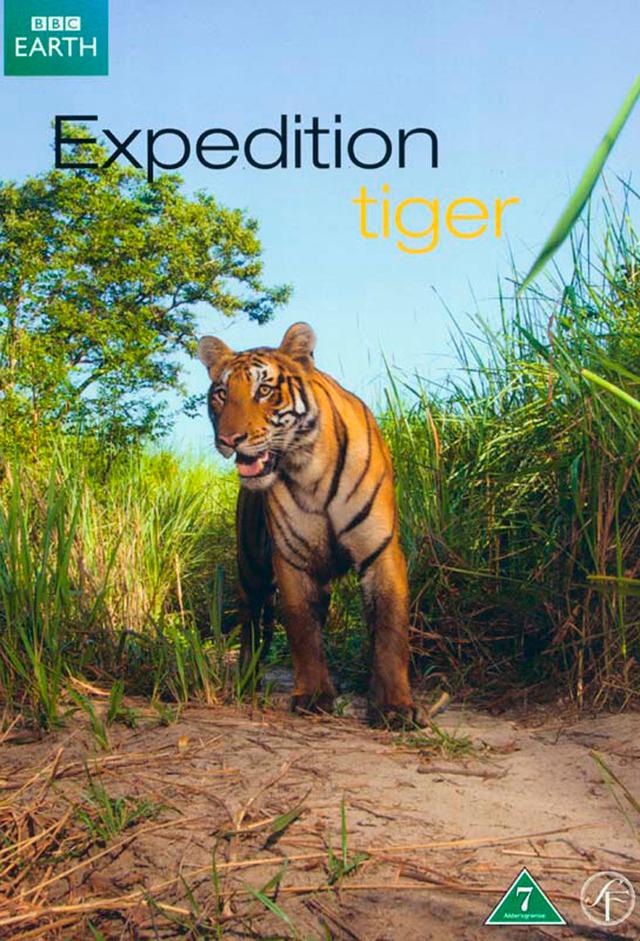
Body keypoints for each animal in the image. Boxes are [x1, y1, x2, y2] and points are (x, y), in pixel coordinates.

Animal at [198, 322, 424, 727]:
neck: (308, 470)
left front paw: (394, 706)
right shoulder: (292, 559)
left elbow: (390, 631)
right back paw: (247, 682)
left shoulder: (380, 552)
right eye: (222, 394)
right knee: (252, 621)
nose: (228, 439)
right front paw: (315, 696)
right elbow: (302, 629)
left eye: (264, 390)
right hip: (251, 565)